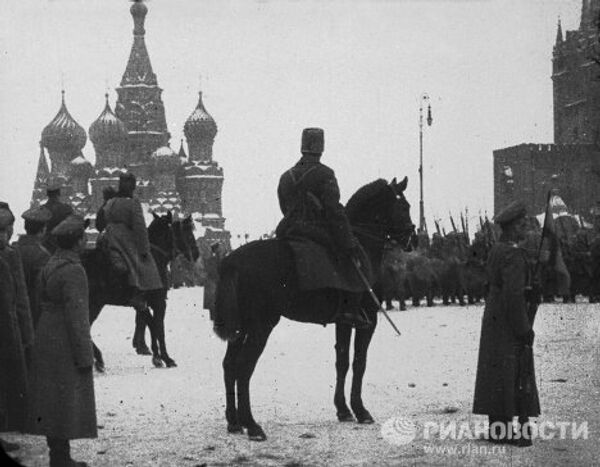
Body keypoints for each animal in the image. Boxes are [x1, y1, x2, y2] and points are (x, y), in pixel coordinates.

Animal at [84, 212, 178, 372]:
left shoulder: (142, 305)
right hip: (93, 304)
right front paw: (165, 358)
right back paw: (98, 359)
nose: (174, 254)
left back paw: (97, 360)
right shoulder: (158, 303)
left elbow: (150, 325)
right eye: (172, 232)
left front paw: (156, 356)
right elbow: (158, 328)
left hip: (95, 304)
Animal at [213, 177, 414, 440]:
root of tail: (231, 260)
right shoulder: (369, 320)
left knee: (229, 365)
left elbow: (342, 361)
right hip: (262, 325)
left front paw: (343, 410)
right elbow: (359, 362)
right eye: (404, 207)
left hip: (242, 328)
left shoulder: (344, 322)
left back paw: (234, 422)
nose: (413, 239)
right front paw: (361, 410)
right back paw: (253, 425)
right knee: (244, 367)